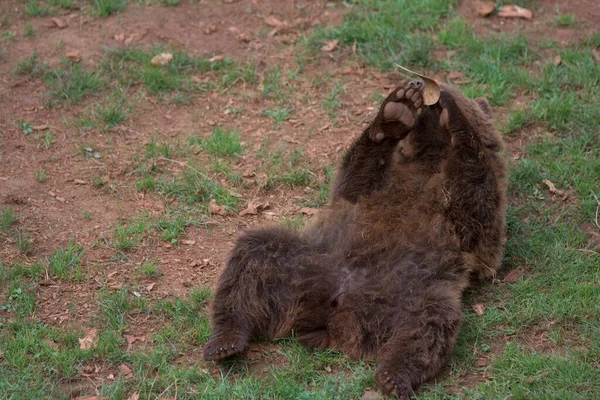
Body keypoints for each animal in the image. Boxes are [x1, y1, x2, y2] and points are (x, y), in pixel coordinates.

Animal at [202, 79, 506, 398]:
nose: (422, 84)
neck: (430, 156)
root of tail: (332, 315)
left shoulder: (476, 213)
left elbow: (477, 212)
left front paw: (454, 117)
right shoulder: (381, 182)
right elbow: (355, 179)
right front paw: (395, 112)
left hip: (412, 291)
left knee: (429, 322)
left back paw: (393, 375)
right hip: (306, 260)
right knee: (251, 257)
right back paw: (224, 340)